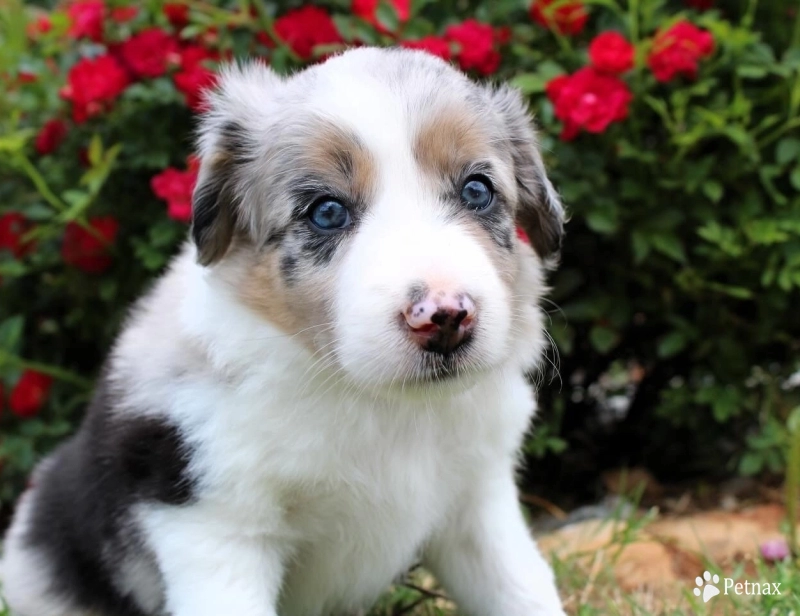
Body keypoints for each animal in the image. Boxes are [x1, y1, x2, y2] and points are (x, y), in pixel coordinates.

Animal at [0, 48, 564, 616]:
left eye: (477, 190)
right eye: (327, 211)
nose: (445, 316)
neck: (380, 405)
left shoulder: (478, 503)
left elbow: (522, 589)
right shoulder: (215, 527)